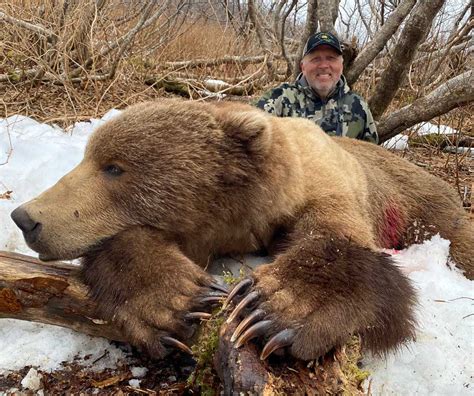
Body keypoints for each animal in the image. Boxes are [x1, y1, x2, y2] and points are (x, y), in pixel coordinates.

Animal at [9, 100, 472, 362]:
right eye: (89, 157)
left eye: (114, 167)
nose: (26, 218)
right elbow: (125, 250)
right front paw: (178, 300)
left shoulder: (332, 190)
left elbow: (342, 249)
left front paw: (273, 307)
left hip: (428, 207)